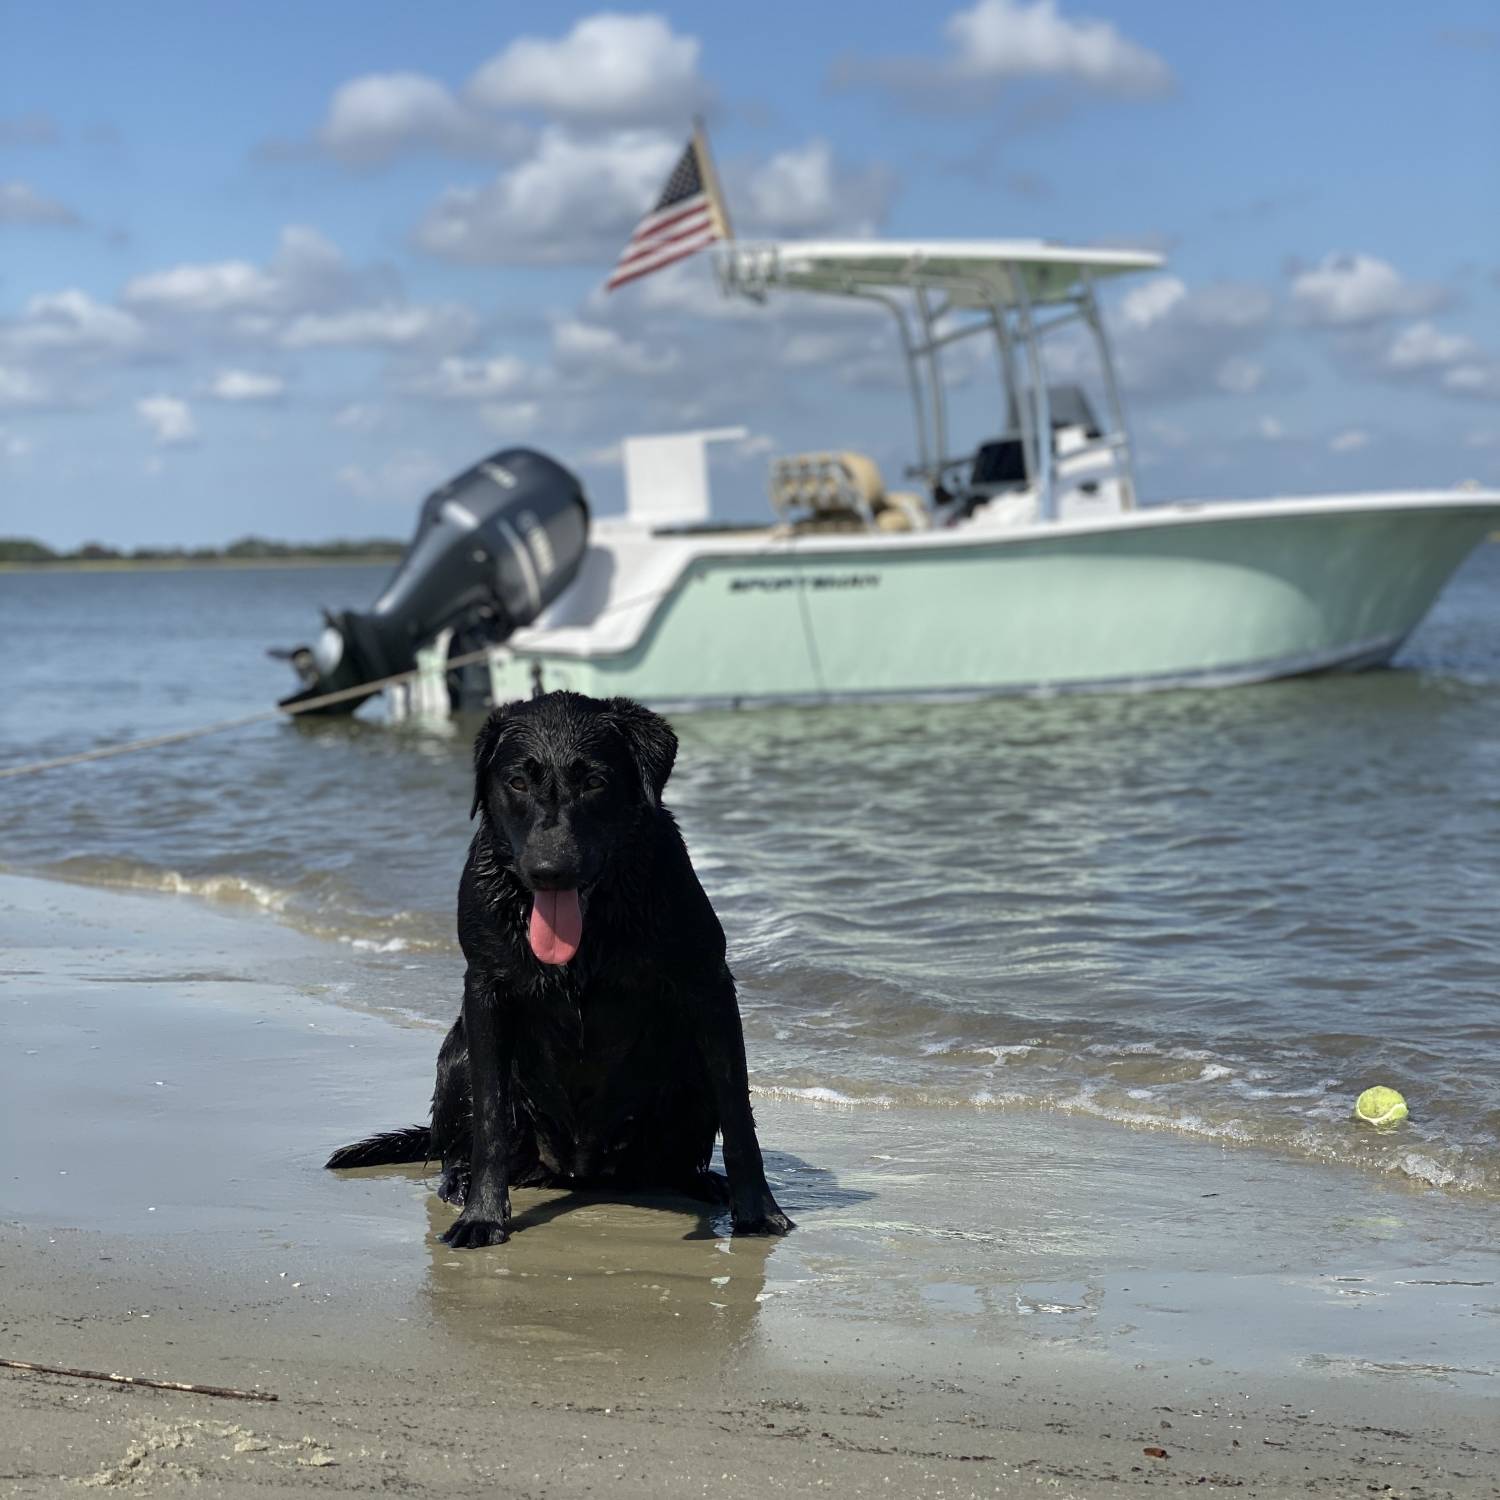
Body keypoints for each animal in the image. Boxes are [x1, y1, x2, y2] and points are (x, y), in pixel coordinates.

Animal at [325, 696, 798, 1248]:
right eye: (517, 782)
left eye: (593, 781)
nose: (550, 871)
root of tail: (579, 1171)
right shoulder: (485, 990)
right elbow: (489, 1118)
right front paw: (483, 1216)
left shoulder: (708, 984)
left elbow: (738, 1114)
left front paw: (760, 1213)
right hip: (458, 1054)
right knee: (456, 1144)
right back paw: (460, 1181)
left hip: (687, 1067)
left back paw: (702, 1181)